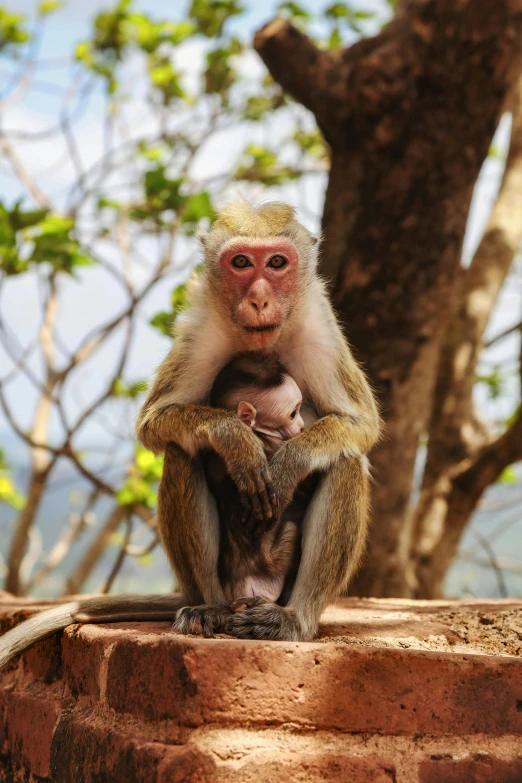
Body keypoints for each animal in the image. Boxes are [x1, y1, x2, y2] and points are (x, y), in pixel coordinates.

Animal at [204, 354, 308, 608]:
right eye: (293, 413)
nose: (302, 426)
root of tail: (243, 585)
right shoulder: (272, 446)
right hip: (275, 566)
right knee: (291, 529)